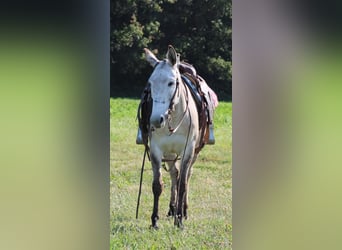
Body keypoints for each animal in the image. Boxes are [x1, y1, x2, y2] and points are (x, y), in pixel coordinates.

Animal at [141, 45, 212, 229]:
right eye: (150, 83)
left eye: (171, 82)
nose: (155, 120)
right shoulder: (157, 151)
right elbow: (157, 185)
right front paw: (154, 221)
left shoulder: (187, 150)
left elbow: (183, 185)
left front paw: (179, 221)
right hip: (170, 154)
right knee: (175, 174)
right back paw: (172, 209)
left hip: (194, 153)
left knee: (186, 177)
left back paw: (183, 211)